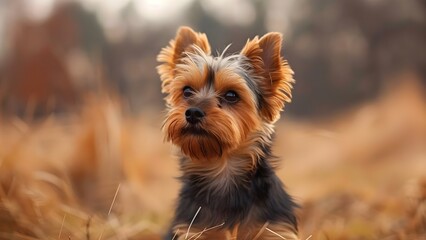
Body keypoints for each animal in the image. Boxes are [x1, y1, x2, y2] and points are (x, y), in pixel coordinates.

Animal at [157, 26, 300, 240]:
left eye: (231, 95)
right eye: (187, 91)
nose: (193, 112)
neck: (222, 168)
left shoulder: (273, 229)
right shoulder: (193, 231)